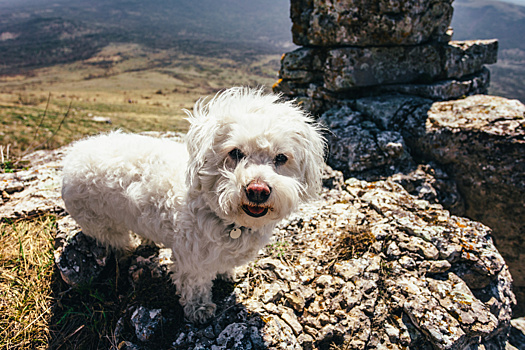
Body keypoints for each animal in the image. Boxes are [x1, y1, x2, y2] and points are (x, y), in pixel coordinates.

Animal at [60, 87, 324, 322]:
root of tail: (73, 154)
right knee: (117, 242)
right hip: (102, 224)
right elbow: (195, 287)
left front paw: (226, 274)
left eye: (281, 158)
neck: (226, 219)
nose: (257, 190)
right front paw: (200, 310)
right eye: (235, 152)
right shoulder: (192, 260)